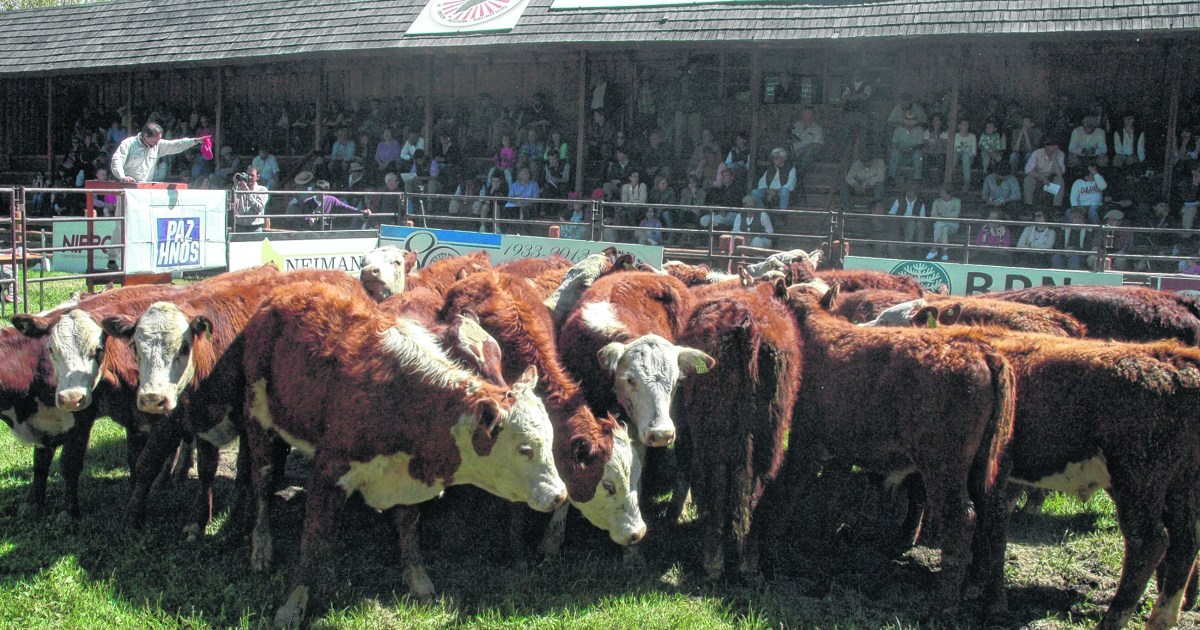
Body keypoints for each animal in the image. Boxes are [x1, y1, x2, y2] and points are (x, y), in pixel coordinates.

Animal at [238, 280, 566, 628]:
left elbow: (408, 525)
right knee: (262, 483)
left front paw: (417, 577)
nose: (559, 495)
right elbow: (313, 544)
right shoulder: (329, 472)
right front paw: (292, 606)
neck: (403, 399)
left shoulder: (413, 472)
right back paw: (261, 546)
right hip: (257, 419)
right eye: (525, 448)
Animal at [672, 279, 801, 580]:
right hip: (766, 437)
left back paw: (723, 563)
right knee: (748, 489)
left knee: (726, 489)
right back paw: (740, 564)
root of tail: (748, 325)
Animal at [763, 280, 1017, 614]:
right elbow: (832, 494)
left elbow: (788, 487)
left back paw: (945, 604)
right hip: (985, 466)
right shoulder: (838, 450)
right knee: (996, 513)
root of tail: (980, 350)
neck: (814, 332)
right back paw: (993, 597)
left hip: (944, 467)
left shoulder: (805, 441)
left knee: (961, 518)